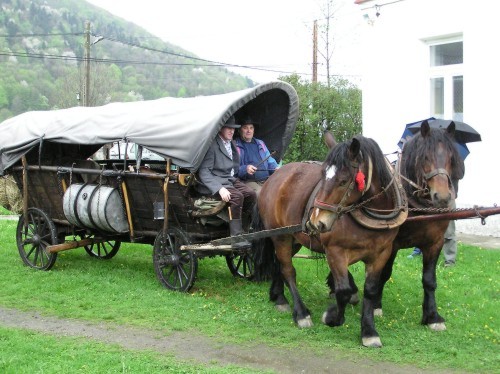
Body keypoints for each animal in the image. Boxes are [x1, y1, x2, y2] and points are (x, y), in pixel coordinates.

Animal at [254, 132, 406, 348]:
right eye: (322, 175)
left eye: (343, 181)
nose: (317, 222)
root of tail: (273, 176)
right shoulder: (335, 251)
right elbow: (342, 290)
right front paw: (332, 317)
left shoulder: (381, 253)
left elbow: (370, 290)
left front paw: (369, 331)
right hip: (279, 235)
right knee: (288, 270)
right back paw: (301, 313)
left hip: (294, 238)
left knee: (278, 264)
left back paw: (280, 298)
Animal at [328, 120, 464, 330]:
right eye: (424, 157)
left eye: (451, 157)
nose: (442, 197)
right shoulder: (391, 244)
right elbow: (384, 273)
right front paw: (376, 305)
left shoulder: (435, 243)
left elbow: (429, 280)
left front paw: (432, 316)